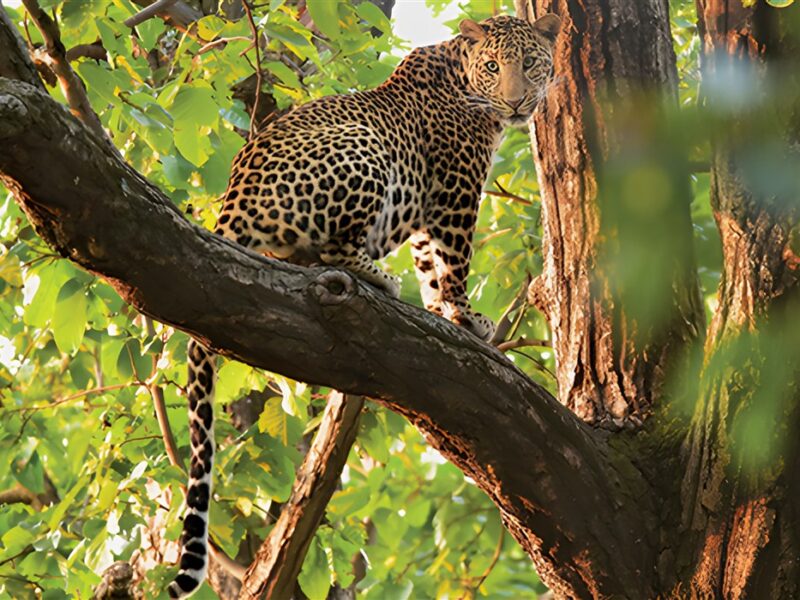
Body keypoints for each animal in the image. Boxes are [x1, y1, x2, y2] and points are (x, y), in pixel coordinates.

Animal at [168, 12, 561, 598]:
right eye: (494, 67)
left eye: (531, 64)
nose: (516, 103)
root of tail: (233, 203)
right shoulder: (456, 192)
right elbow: (454, 262)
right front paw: (465, 315)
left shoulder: (428, 213)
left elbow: (431, 268)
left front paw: (442, 314)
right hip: (364, 145)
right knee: (332, 251)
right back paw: (378, 277)